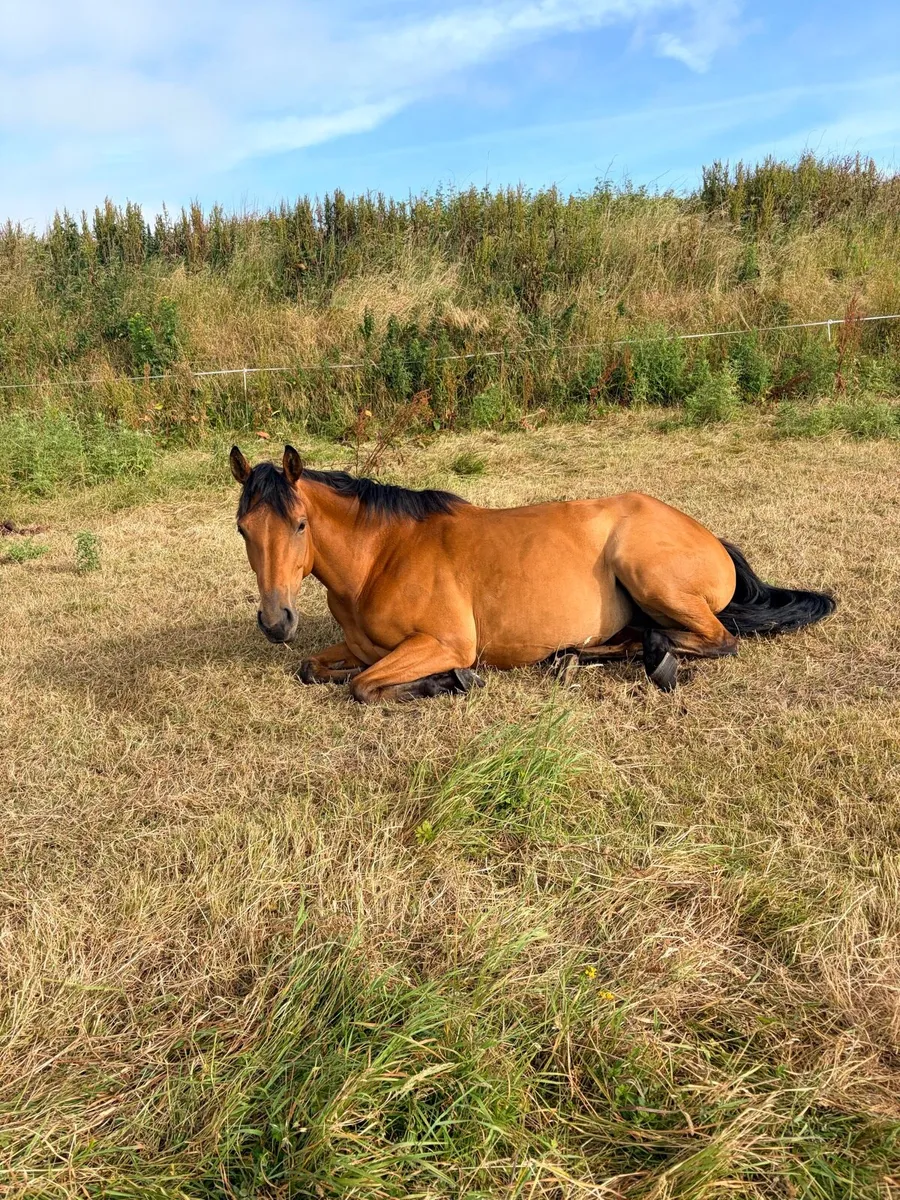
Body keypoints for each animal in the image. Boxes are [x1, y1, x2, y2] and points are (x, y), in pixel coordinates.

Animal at [230, 444, 835, 704]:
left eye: (301, 524)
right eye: (242, 529)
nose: (276, 622)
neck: (381, 558)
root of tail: (707, 535)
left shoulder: (444, 643)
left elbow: (363, 686)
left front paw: (451, 681)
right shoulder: (359, 647)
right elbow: (315, 668)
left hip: (648, 575)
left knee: (717, 639)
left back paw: (656, 658)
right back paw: (575, 658)